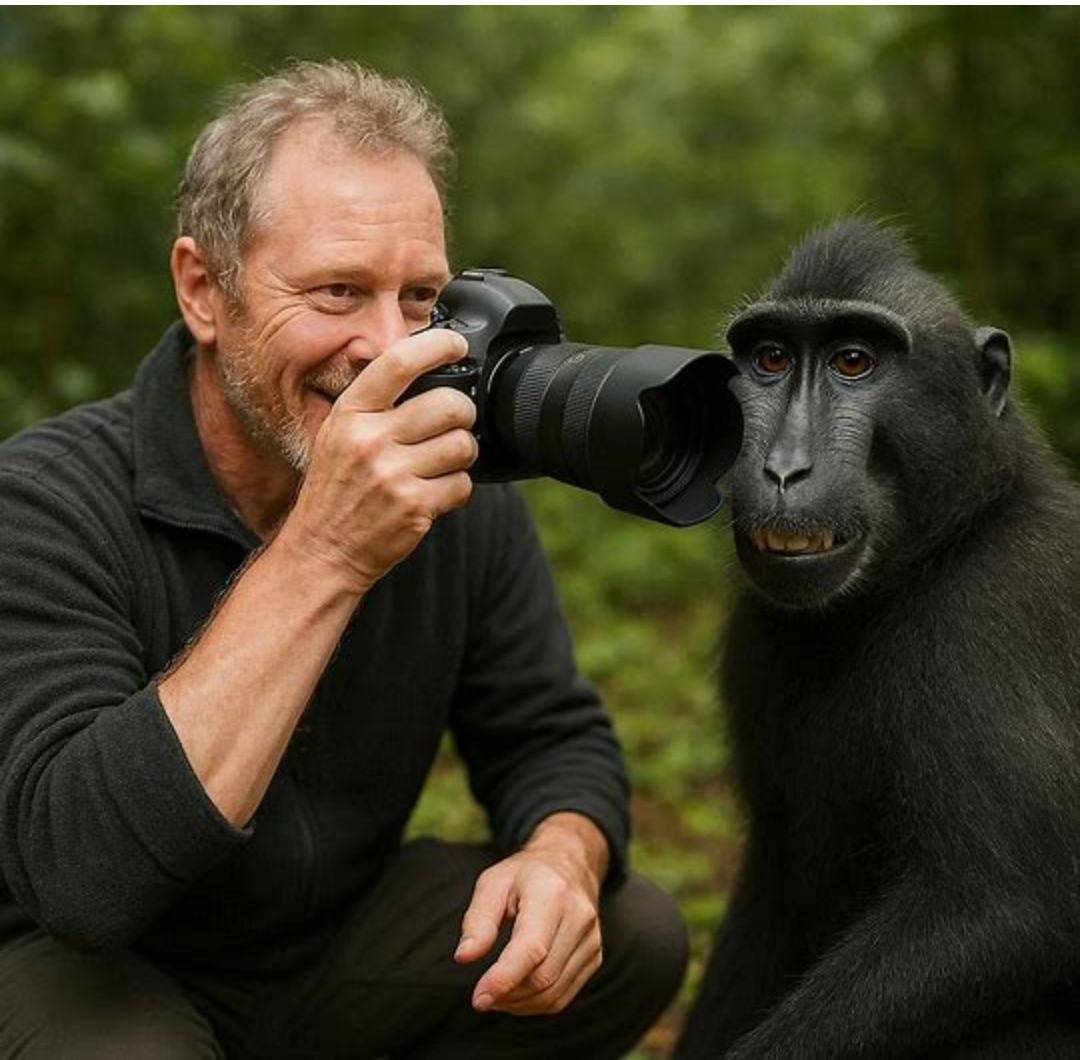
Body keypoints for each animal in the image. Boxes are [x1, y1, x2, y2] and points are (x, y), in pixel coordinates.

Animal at [675, 220, 1080, 1059]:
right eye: (770, 360)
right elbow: (771, 884)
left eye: (853, 362)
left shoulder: (997, 620)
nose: (784, 469)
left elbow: (1000, 907)